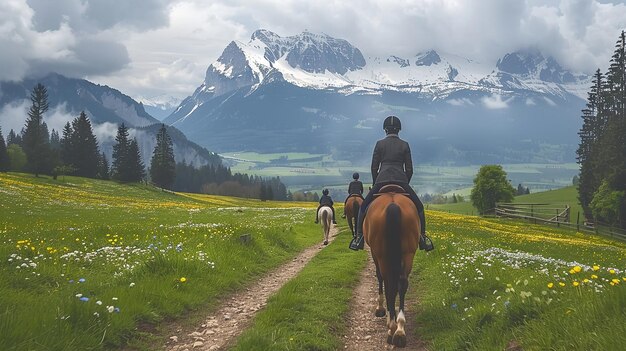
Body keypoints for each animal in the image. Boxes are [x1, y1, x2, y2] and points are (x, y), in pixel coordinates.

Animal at [360, 186, 420, 348]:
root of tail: (393, 204)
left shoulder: (375, 254)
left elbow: (380, 278)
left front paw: (381, 309)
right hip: (408, 253)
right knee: (402, 283)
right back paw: (399, 330)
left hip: (382, 256)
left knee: (389, 284)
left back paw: (392, 328)